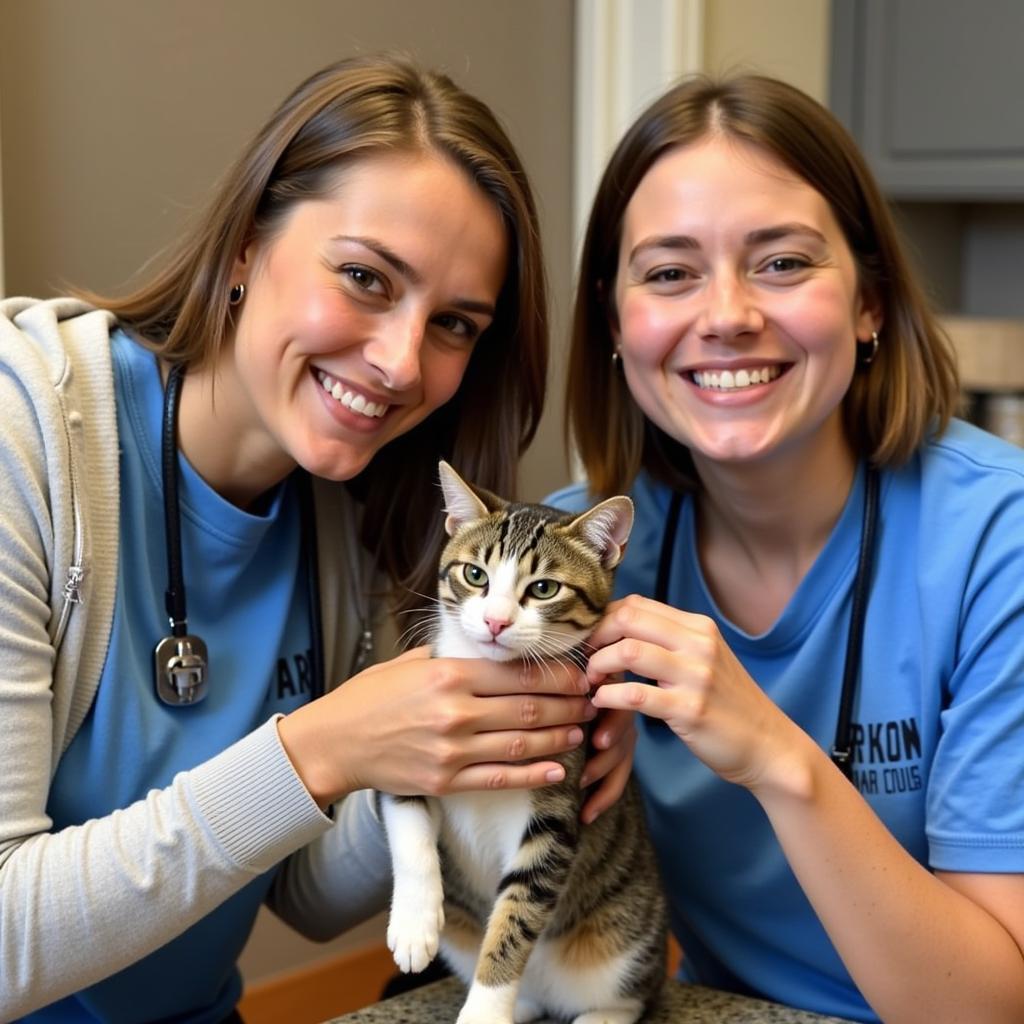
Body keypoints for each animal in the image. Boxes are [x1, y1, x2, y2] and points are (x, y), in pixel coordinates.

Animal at [380, 462, 667, 1024]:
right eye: (475, 575)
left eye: (544, 588)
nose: (495, 621)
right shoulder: (412, 738)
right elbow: (408, 823)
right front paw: (414, 924)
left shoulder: (556, 809)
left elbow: (517, 914)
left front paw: (484, 1012)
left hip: (628, 930)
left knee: (628, 988)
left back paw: (598, 1015)